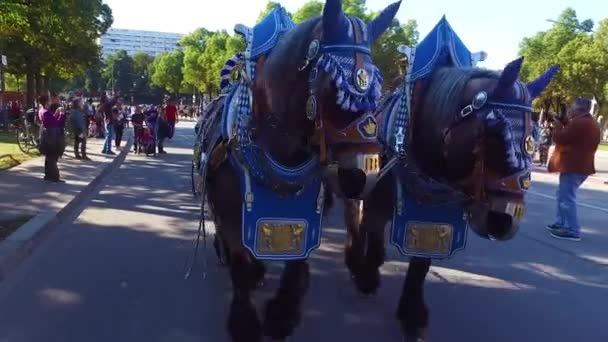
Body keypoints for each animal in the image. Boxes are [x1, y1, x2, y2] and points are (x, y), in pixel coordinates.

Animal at [197, 1, 402, 340]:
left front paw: (282, 316)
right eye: (334, 86)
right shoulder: (231, 212)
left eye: (378, 89)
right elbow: (239, 262)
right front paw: (245, 323)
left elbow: (297, 266)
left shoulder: (307, 210)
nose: (363, 175)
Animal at [342, 17, 560, 340]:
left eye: (535, 137)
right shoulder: (378, 199)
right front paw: (367, 275)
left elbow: (421, 262)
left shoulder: (436, 212)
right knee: (354, 219)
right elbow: (375, 238)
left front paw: (411, 312)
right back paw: (356, 259)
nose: (505, 221)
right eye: (494, 133)